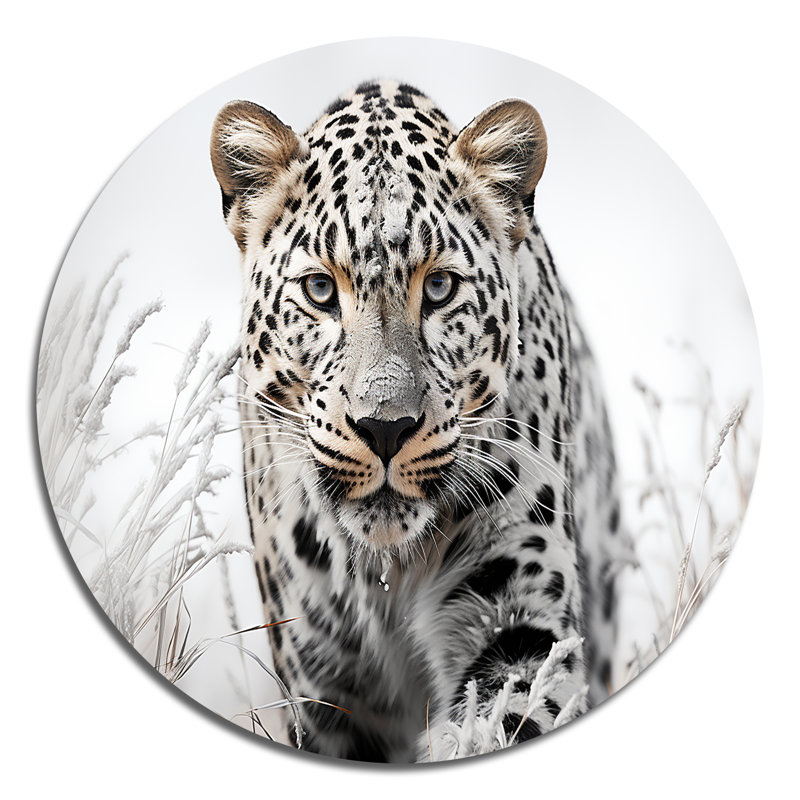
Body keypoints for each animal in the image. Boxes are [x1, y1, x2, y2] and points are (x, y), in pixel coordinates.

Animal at [210, 79, 624, 762]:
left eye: (439, 289)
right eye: (320, 291)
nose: (384, 427)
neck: (387, 575)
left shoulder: (517, 607)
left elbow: (507, 714)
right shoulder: (323, 681)